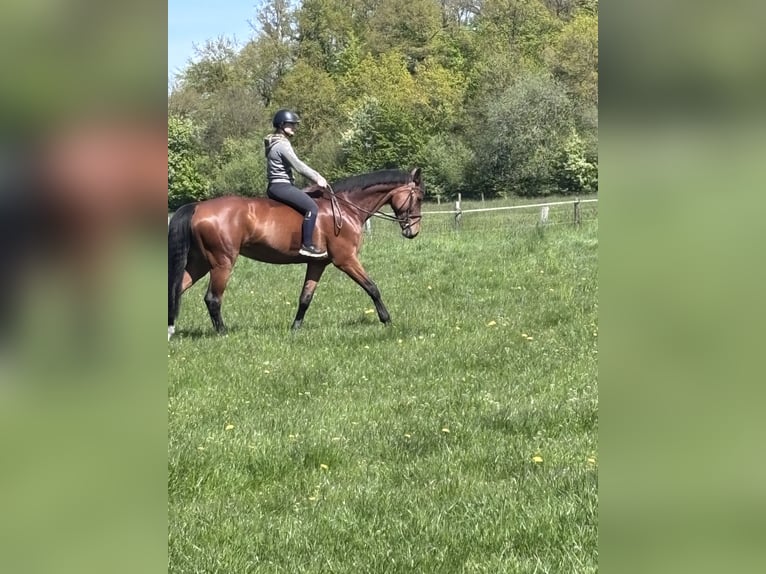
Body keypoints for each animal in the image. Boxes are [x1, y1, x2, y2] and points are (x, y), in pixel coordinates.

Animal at [167, 167, 424, 339]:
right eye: (419, 197)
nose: (413, 231)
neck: (346, 208)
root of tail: (198, 207)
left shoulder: (318, 264)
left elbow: (305, 297)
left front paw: (295, 329)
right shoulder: (346, 260)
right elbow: (372, 287)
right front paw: (387, 320)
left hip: (200, 264)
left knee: (177, 290)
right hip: (222, 263)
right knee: (213, 298)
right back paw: (223, 333)